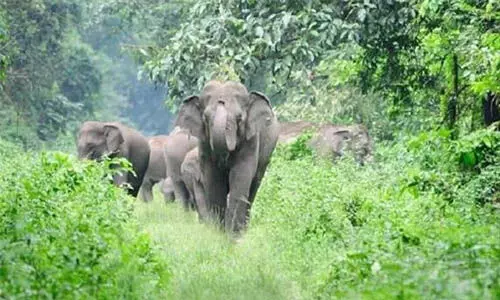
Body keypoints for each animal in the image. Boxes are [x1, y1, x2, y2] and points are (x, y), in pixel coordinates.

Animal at [174, 80, 280, 234]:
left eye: (239, 118)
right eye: (205, 118)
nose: (221, 101)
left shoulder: (251, 139)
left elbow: (240, 177)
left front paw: (233, 235)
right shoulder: (204, 144)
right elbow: (214, 180)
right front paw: (219, 233)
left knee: (254, 186)